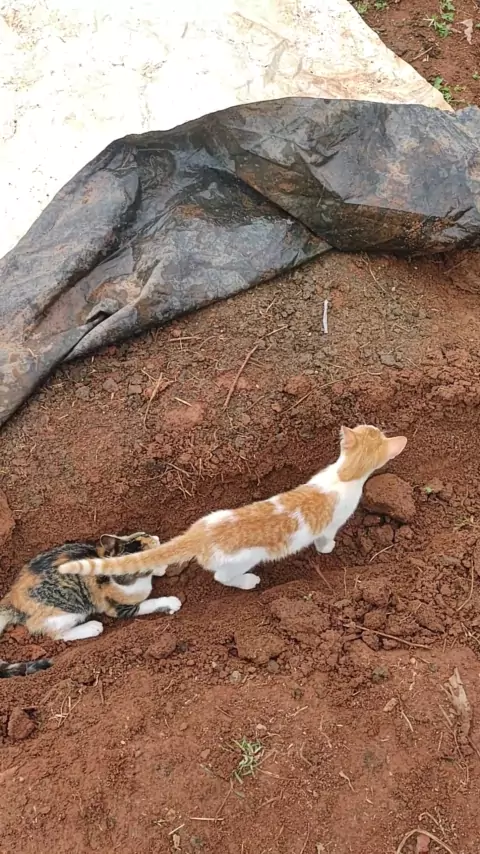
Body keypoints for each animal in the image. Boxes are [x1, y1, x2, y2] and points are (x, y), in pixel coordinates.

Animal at [0, 532, 181, 676]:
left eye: (145, 534)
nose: (157, 538)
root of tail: (12, 598)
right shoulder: (119, 608)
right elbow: (148, 603)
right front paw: (171, 601)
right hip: (70, 609)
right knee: (56, 634)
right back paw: (92, 627)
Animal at [58, 425, 407, 590]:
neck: (343, 473)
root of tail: (199, 534)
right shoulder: (331, 524)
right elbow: (326, 539)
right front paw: (329, 549)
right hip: (241, 561)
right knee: (222, 578)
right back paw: (248, 582)